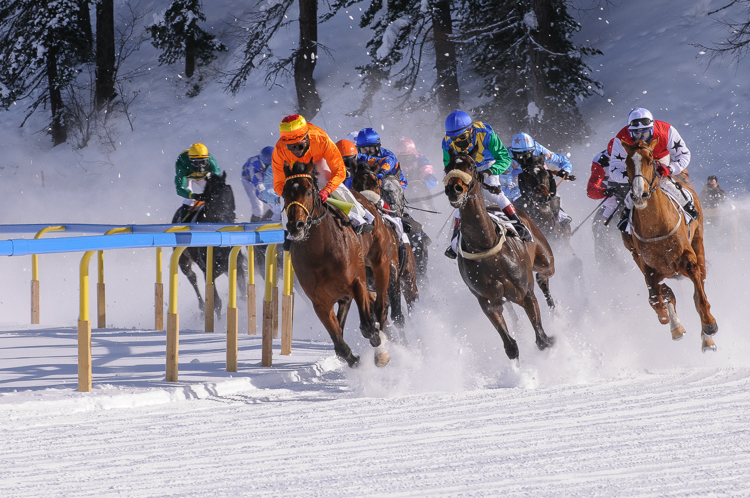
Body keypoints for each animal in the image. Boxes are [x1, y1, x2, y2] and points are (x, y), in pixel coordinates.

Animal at [175, 171, 248, 320]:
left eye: (228, 192)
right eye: (212, 197)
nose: (226, 216)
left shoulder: (236, 264)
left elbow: (243, 292)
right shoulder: (208, 272)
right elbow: (216, 303)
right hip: (183, 261)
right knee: (191, 277)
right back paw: (202, 307)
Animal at [284, 159, 400, 366]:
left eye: (308, 191)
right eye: (284, 192)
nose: (296, 226)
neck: (320, 252)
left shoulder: (357, 282)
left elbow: (368, 327)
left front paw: (380, 351)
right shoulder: (320, 302)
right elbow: (340, 346)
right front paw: (355, 361)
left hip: (381, 262)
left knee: (381, 307)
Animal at [446, 150, 560, 360]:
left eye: (471, 166)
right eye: (447, 167)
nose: (454, 188)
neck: (485, 247)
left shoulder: (526, 294)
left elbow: (542, 339)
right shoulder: (488, 303)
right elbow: (511, 347)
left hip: (546, 258)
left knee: (544, 278)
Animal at [620, 138, 720, 352]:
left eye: (651, 160)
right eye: (626, 163)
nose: (639, 195)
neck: (656, 228)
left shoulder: (688, 260)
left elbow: (699, 296)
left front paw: (709, 325)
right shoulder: (648, 268)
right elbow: (656, 299)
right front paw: (671, 322)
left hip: (698, 243)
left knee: (698, 289)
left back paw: (707, 337)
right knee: (665, 294)